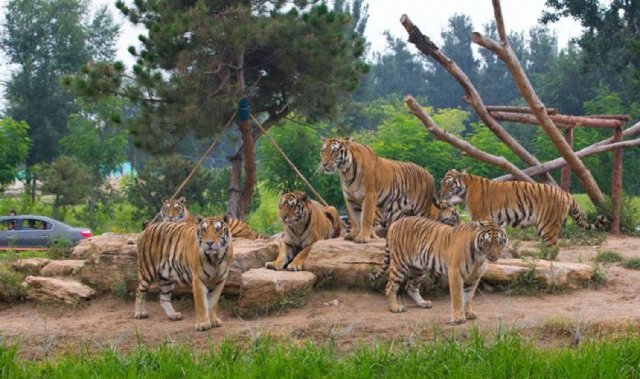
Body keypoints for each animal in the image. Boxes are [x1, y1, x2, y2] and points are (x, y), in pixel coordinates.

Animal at [372, 218, 508, 326]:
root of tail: (396, 222)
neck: (479, 255)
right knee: (390, 287)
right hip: (400, 263)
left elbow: (469, 296)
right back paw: (395, 308)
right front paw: (458, 318)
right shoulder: (455, 273)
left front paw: (468, 313)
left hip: (418, 269)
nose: (494, 257)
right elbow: (458, 297)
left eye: (499, 242)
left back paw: (423, 303)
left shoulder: (474, 277)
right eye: (487, 243)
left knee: (411, 287)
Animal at [440, 168, 604, 246]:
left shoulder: (480, 216)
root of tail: (565, 193)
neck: (465, 187)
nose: (440, 193)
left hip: (548, 225)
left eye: (448, 183)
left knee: (553, 249)